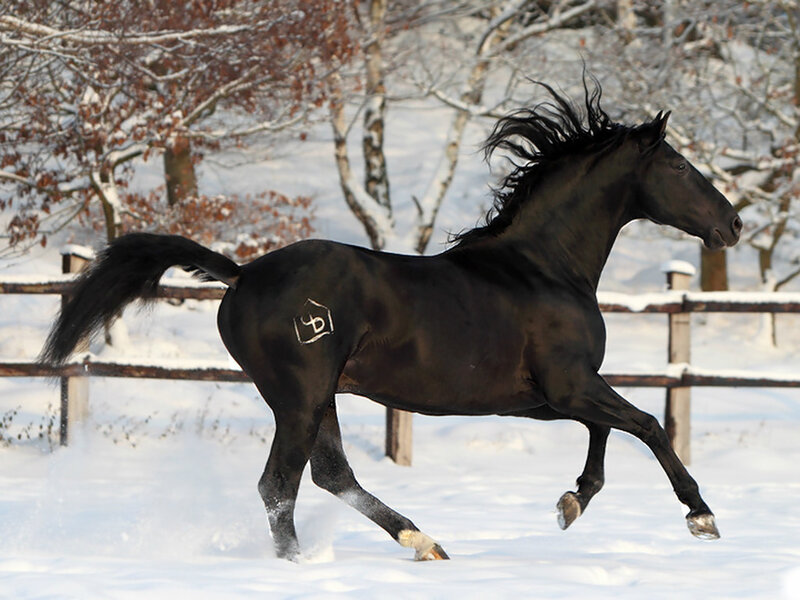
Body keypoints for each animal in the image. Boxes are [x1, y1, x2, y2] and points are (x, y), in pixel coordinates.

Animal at [41, 81, 742, 562]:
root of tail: (241, 275)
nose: (732, 224)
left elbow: (606, 431)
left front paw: (572, 502)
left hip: (318, 396)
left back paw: (422, 541)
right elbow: (648, 424)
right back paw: (302, 564)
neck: (542, 266)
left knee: (328, 474)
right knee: (279, 484)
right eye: (679, 165)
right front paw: (701, 517)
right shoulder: (569, 385)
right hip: (299, 395)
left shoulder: (542, 397)